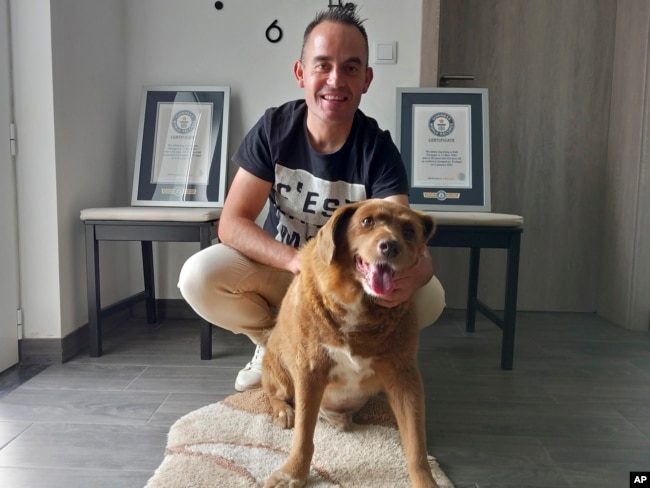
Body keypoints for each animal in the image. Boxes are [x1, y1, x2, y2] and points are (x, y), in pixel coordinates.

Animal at [260, 198, 438, 488]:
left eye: (409, 231)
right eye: (367, 221)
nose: (391, 246)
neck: (360, 304)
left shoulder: (405, 377)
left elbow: (416, 444)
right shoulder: (310, 370)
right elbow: (303, 436)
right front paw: (293, 474)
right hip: (282, 375)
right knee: (274, 394)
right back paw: (283, 412)